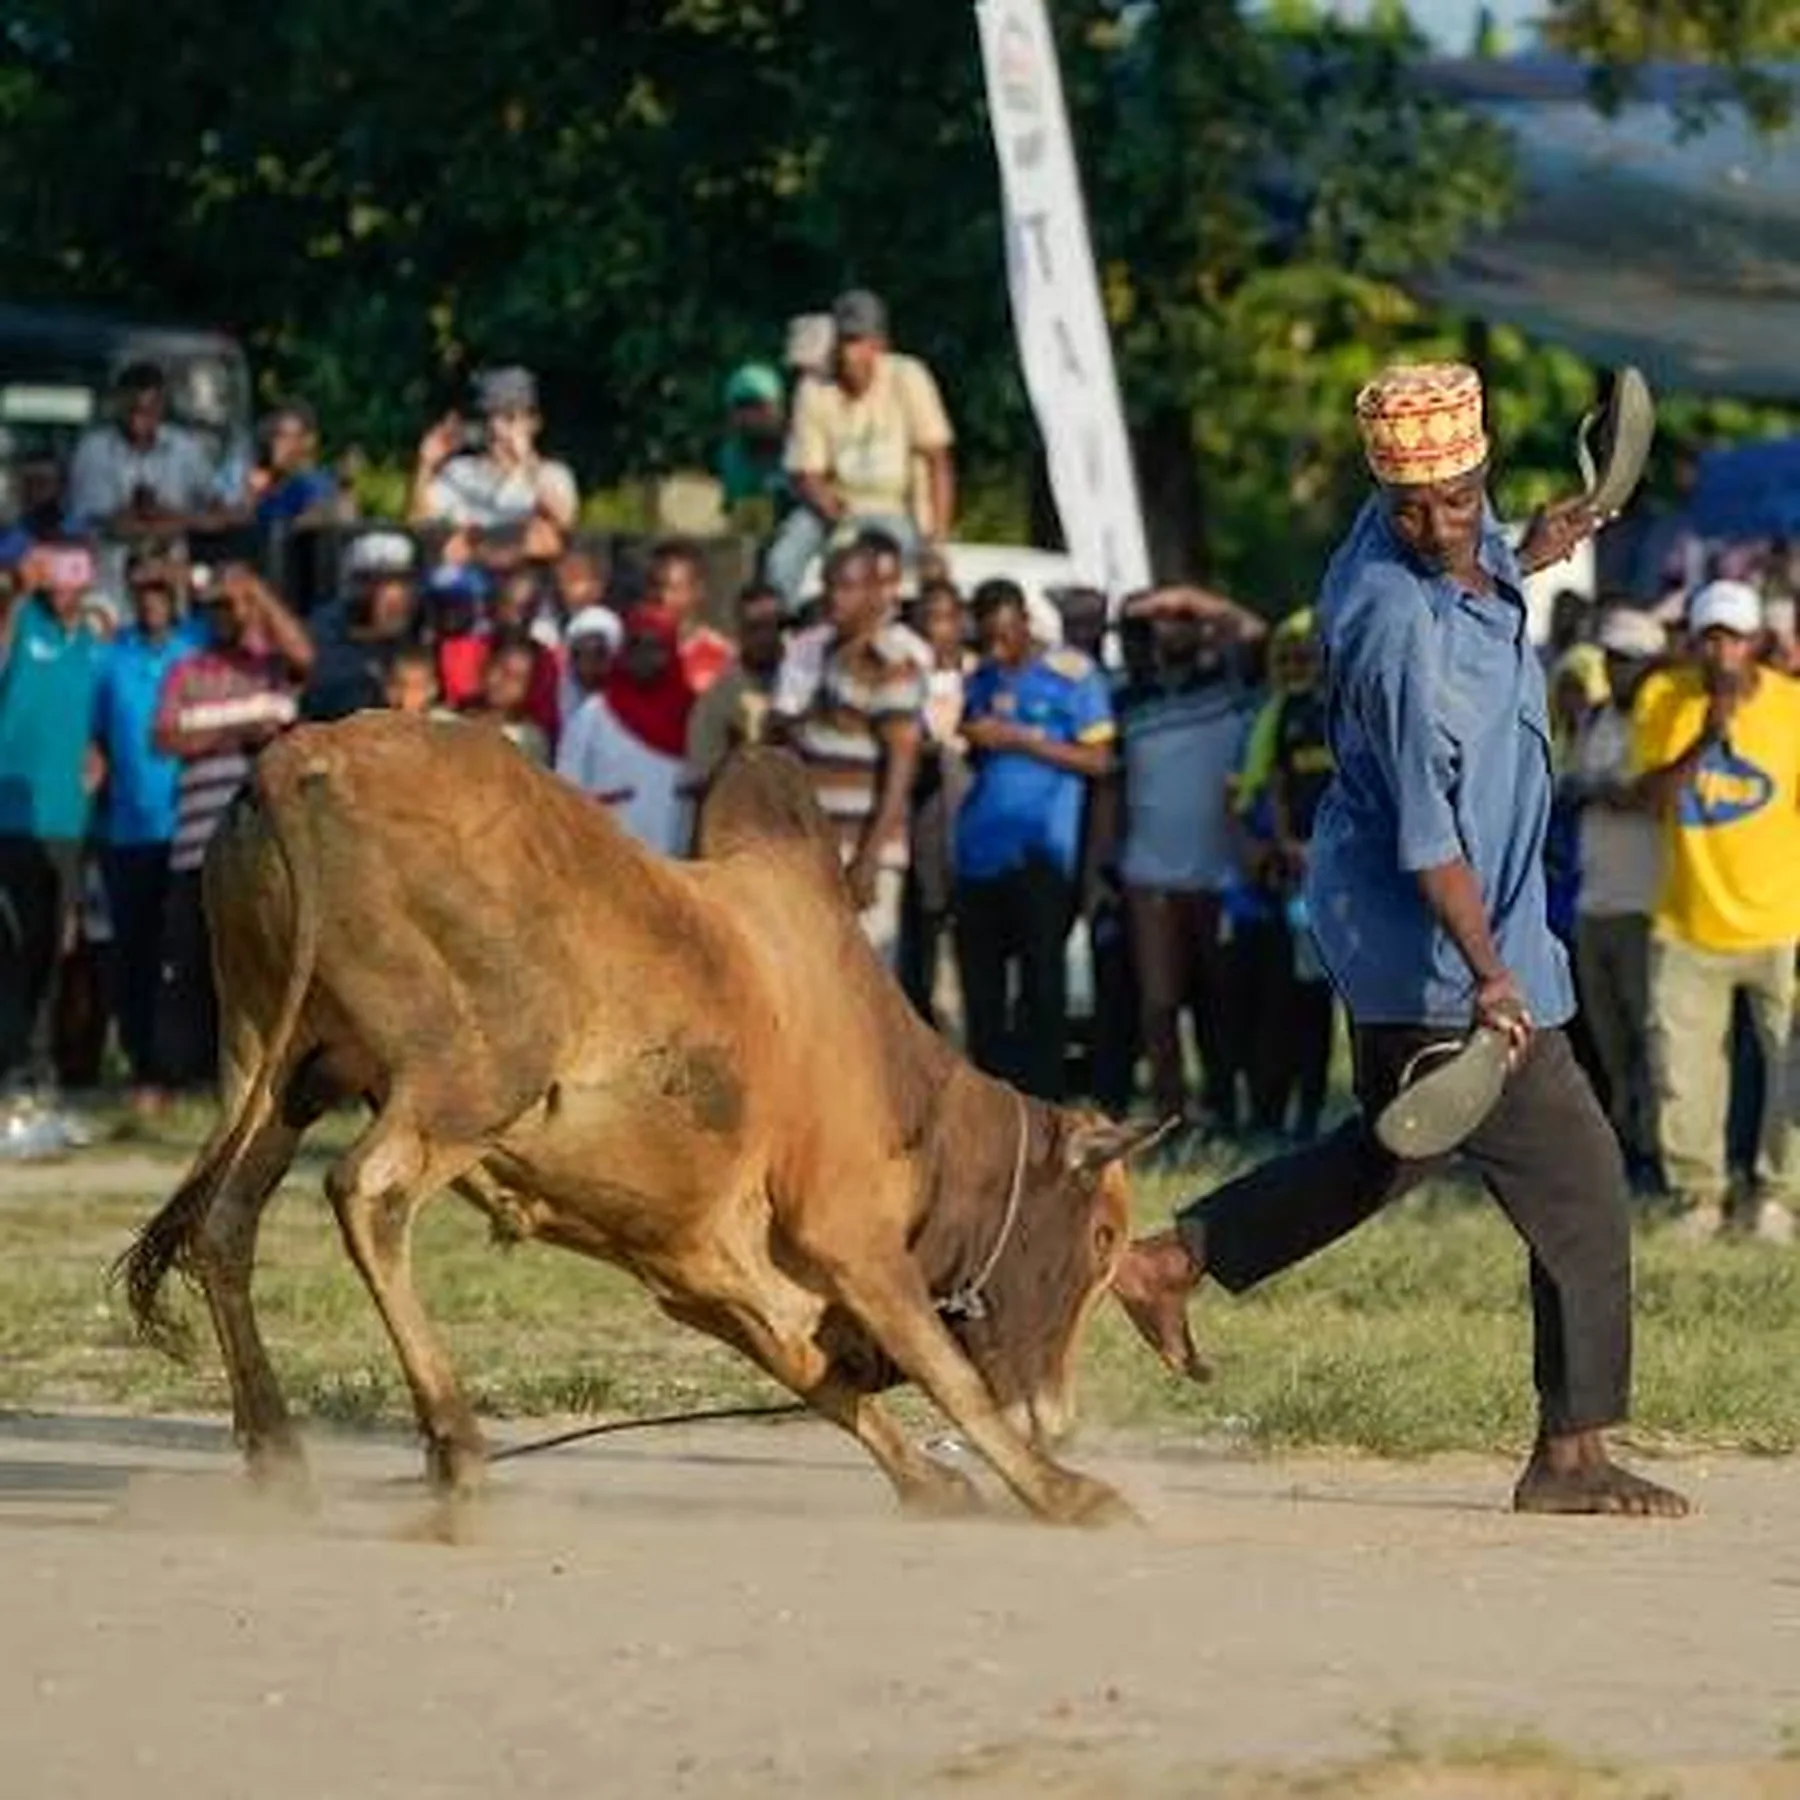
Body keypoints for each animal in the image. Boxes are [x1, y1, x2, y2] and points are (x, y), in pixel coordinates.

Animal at [121, 715, 1161, 1525]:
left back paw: (277, 1451)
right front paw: (1063, 1490)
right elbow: (949, 1371)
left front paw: (937, 1484)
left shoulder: (704, 1275)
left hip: (274, 1067)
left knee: (224, 1224)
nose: (1057, 1414)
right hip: (472, 1078)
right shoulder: (851, 1237)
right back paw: (456, 1445)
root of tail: (299, 758)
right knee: (367, 1192)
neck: (912, 1094)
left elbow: (818, 1377)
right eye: (1102, 1236)